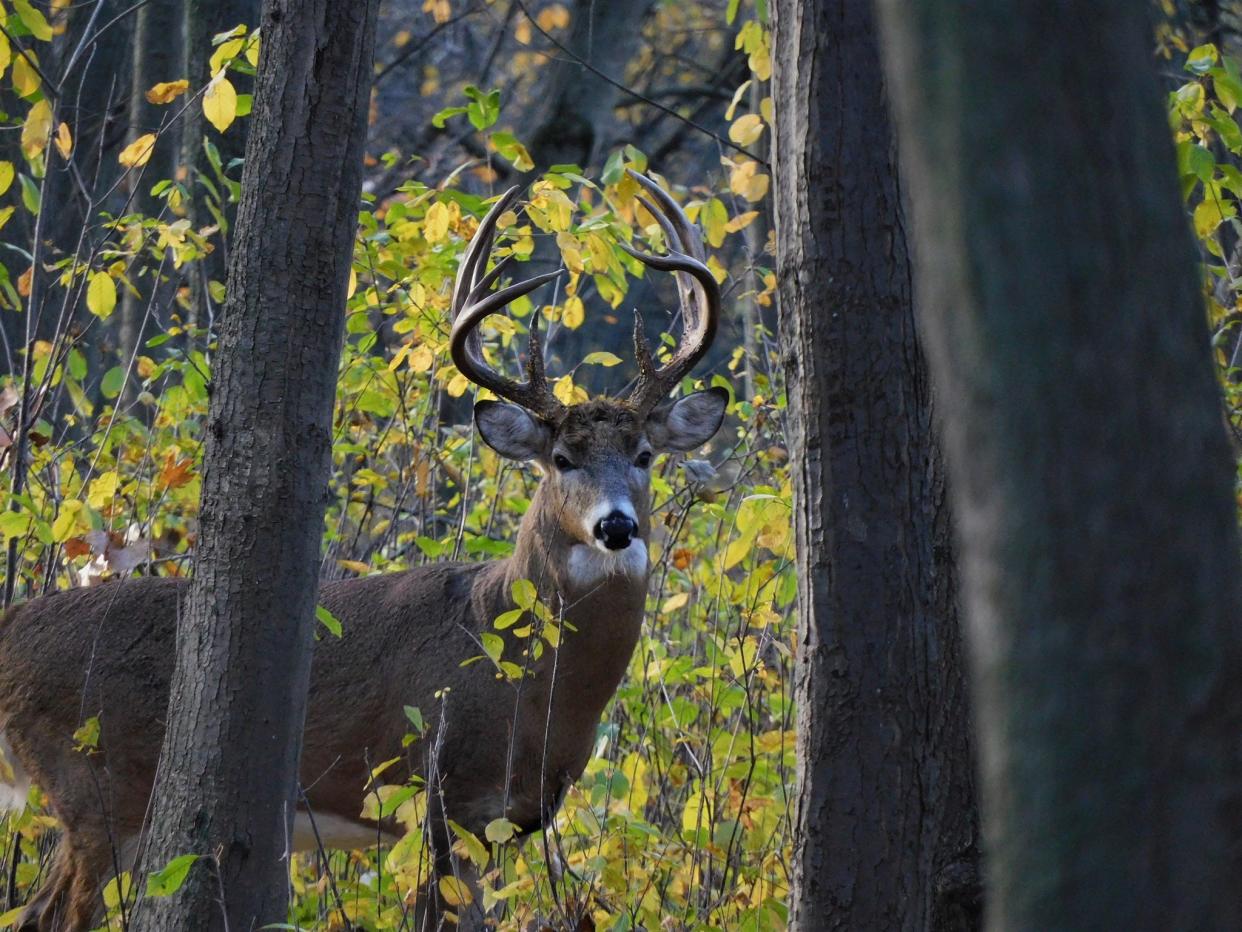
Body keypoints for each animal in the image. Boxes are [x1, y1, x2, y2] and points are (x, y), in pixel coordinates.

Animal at [0, 171, 725, 929]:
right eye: (561, 459)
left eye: (644, 455)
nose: (616, 527)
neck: (524, 673)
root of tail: (10, 625)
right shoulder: (439, 798)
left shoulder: (505, 825)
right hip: (93, 786)